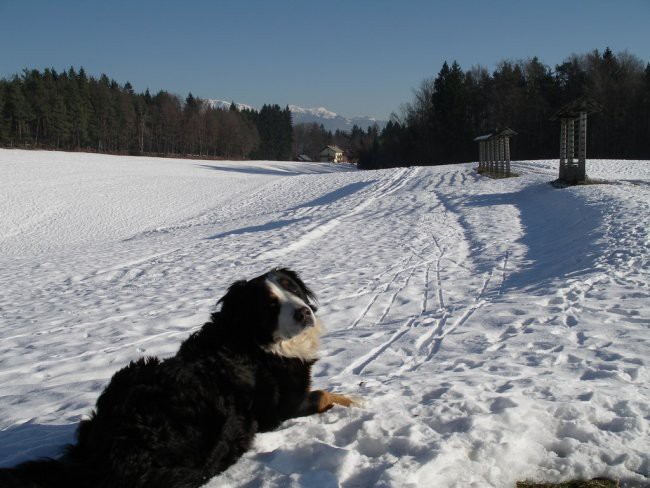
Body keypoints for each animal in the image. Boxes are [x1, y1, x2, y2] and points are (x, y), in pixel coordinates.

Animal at [1, 268, 354, 488]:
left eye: (292, 288)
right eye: (269, 305)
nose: (304, 313)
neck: (254, 342)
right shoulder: (283, 407)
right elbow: (324, 394)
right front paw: (356, 401)